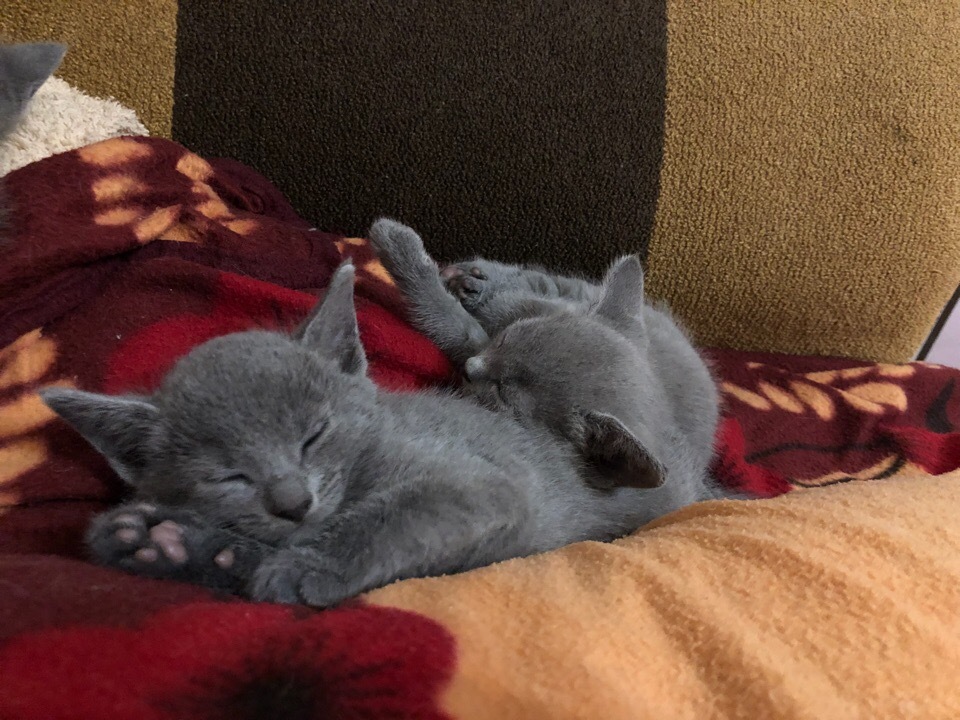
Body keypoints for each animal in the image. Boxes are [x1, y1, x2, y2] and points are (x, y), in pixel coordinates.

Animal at [43, 262, 676, 604]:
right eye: (228, 476)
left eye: (314, 435)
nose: (292, 500)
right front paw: (166, 543)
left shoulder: (484, 485)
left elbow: (392, 516)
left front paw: (305, 567)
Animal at [372, 219, 724, 500]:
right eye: (505, 339)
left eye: (502, 392)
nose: (472, 369)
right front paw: (396, 240)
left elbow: (455, 326)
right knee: (553, 282)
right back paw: (480, 278)